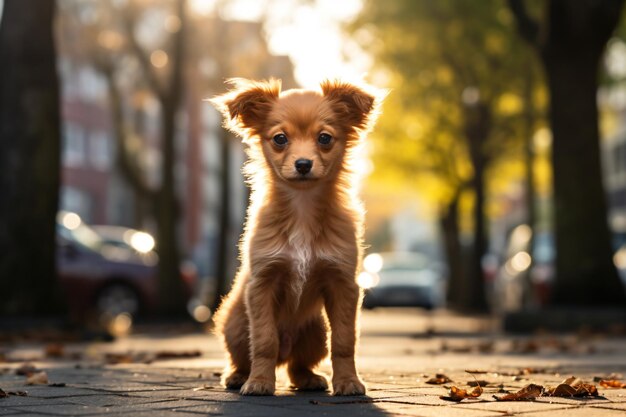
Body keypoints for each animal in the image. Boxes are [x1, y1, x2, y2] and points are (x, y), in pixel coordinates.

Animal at [210, 79, 380, 396]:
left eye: (324, 138)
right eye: (280, 139)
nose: (303, 164)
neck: (303, 206)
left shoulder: (343, 284)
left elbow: (344, 341)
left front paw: (348, 382)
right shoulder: (262, 284)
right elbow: (264, 341)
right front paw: (259, 382)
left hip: (316, 332)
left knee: (296, 366)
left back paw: (309, 379)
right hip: (235, 325)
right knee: (246, 355)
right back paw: (239, 376)